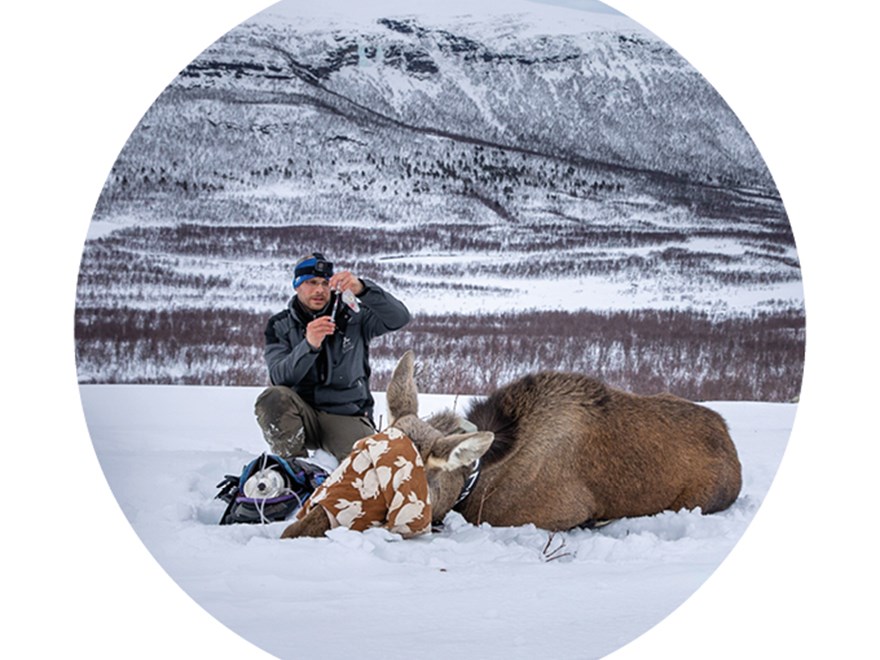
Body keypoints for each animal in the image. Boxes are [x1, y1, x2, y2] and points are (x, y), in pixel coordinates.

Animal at [282, 350, 744, 536]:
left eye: (396, 479)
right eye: (352, 455)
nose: (298, 530)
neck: (476, 484)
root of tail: (728, 438)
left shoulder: (559, 514)